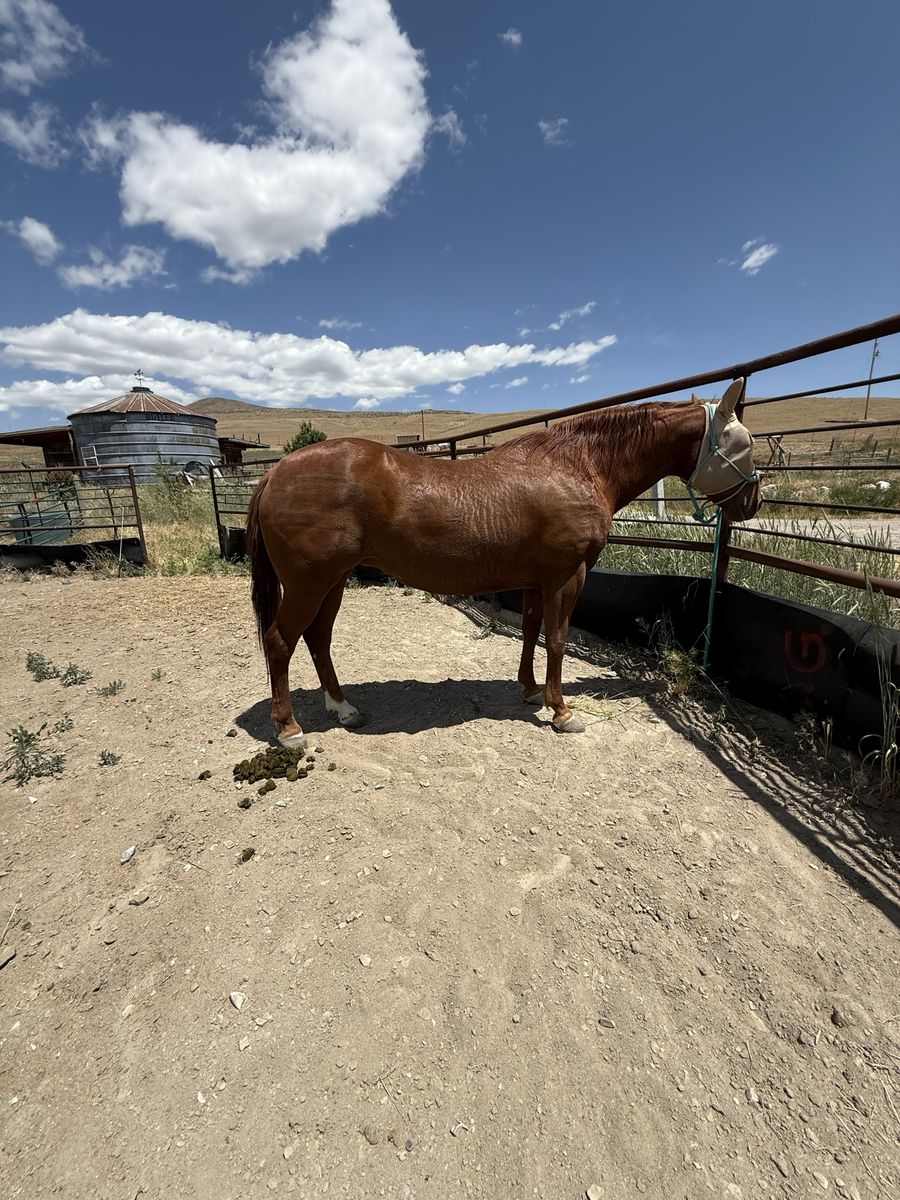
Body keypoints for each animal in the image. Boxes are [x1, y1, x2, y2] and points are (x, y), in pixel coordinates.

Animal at [246, 379, 760, 748]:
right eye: (746, 444)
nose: (753, 502)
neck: (575, 467)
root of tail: (275, 472)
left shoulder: (536, 581)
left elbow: (531, 633)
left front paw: (530, 690)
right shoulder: (567, 576)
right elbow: (557, 639)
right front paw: (562, 712)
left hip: (332, 581)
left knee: (317, 639)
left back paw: (343, 707)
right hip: (310, 584)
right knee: (280, 642)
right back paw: (289, 728)